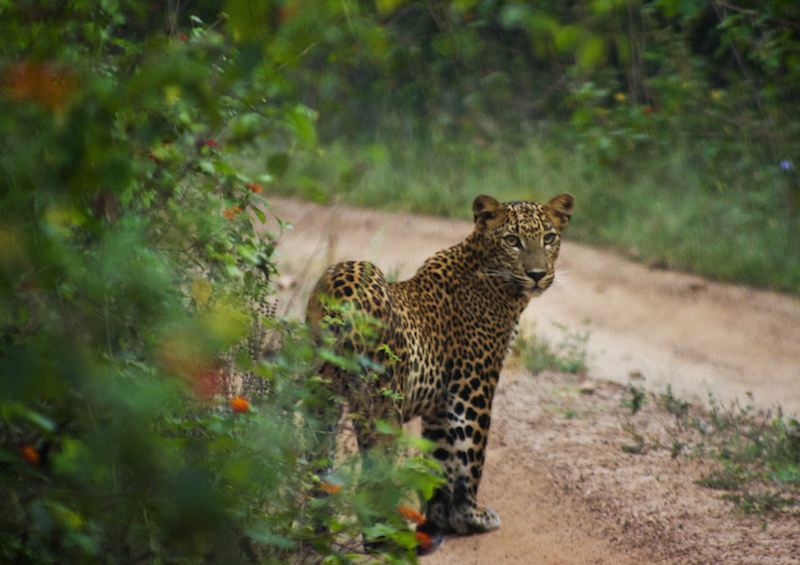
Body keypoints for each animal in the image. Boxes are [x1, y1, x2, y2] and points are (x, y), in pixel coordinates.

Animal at [306, 192, 576, 548]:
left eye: (549, 238)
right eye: (512, 241)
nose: (536, 273)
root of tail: (342, 289)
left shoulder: (439, 401)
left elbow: (440, 459)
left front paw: (442, 518)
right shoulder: (473, 385)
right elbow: (470, 454)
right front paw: (472, 518)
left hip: (321, 394)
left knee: (315, 467)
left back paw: (314, 535)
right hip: (382, 400)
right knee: (372, 473)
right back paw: (387, 538)